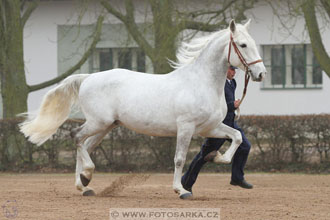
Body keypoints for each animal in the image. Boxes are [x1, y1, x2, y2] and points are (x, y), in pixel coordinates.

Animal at [20, 19, 266, 199]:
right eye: (242, 45)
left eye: (254, 43)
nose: (261, 74)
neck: (202, 82)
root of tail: (88, 77)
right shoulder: (186, 127)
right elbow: (179, 158)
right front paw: (181, 190)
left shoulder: (210, 128)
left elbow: (236, 137)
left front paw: (216, 157)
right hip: (98, 122)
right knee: (76, 136)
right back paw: (86, 176)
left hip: (106, 126)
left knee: (85, 144)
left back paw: (84, 184)